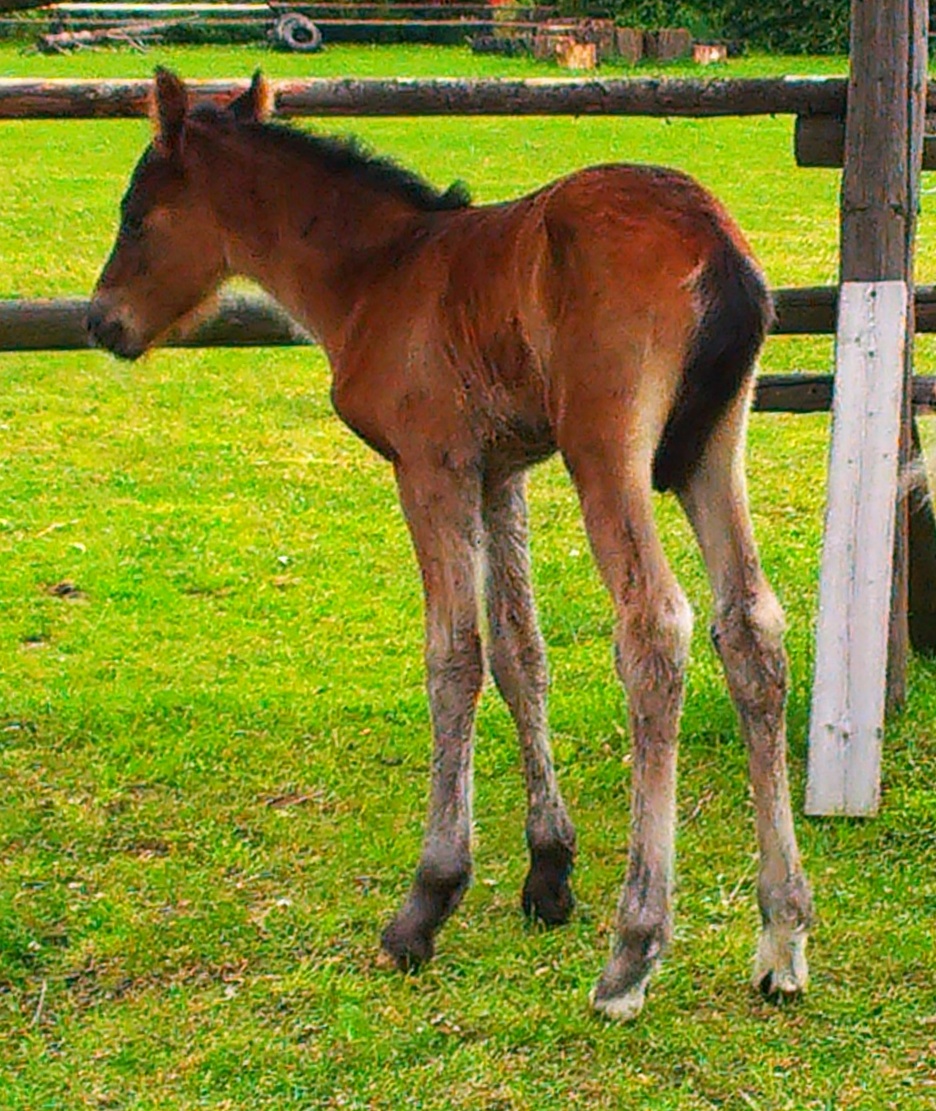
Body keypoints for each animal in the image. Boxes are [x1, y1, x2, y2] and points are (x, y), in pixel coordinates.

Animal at [91, 69, 813, 1017]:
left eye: (136, 213)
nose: (102, 322)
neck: (376, 275)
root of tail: (717, 245)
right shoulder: (500, 473)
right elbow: (520, 653)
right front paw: (549, 871)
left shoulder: (430, 462)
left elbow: (454, 657)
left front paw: (427, 901)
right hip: (712, 448)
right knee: (751, 627)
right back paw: (782, 935)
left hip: (606, 448)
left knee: (655, 628)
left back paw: (633, 950)